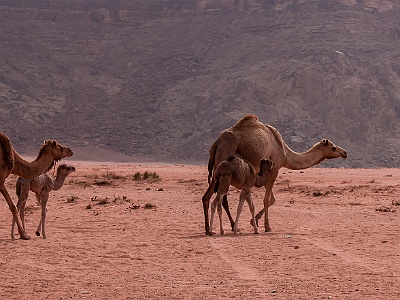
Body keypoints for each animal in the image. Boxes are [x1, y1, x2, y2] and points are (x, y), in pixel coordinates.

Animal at [203, 114, 346, 234]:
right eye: (333, 147)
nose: (345, 152)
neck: (285, 153)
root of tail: (216, 143)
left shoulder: (264, 173)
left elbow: (272, 199)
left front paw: (255, 221)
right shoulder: (275, 168)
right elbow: (267, 199)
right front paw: (266, 226)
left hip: (216, 172)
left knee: (206, 197)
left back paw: (209, 229)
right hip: (224, 165)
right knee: (221, 199)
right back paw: (230, 227)